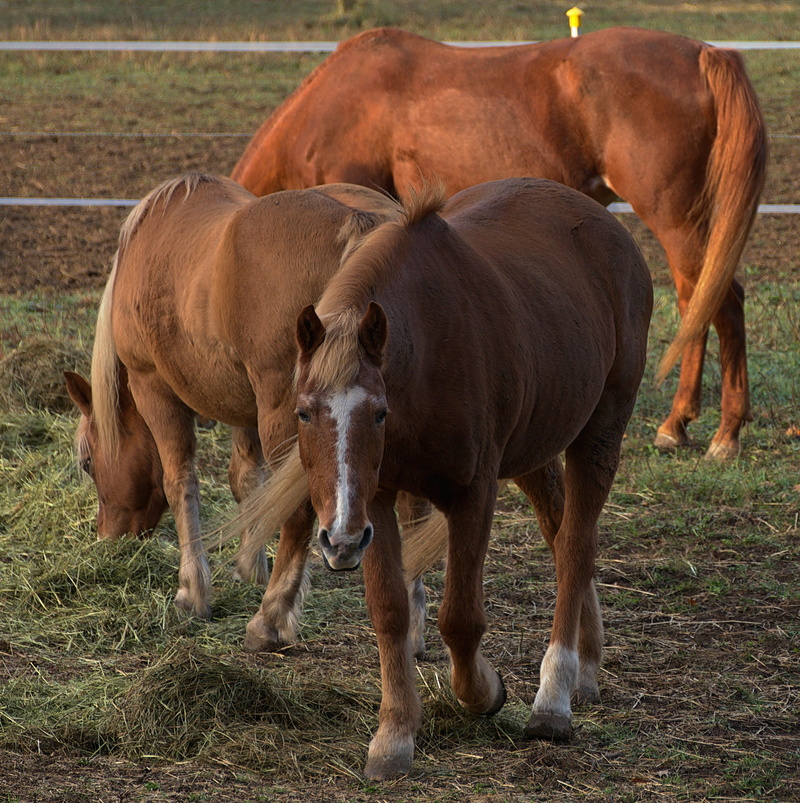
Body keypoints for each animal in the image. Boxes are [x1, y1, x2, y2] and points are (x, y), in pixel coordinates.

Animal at [65, 172, 430, 646]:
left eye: (88, 463)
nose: (107, 537)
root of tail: (363, 225)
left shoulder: (155, 390)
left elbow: (180, 483)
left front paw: (192, 591)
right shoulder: (245, 409)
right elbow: (249, 485)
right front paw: (250, 567)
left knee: (300, 511)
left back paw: (269, 618)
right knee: (415, 509)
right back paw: (413, 625)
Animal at [231, 25, 767, 459]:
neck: (337, 101)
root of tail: (704, 53)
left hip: (675, 218)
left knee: (716, 303)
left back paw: (716, 432)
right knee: (705, 301)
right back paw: (692, 422)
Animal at [232, 177, 653, 779]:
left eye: (378, 413)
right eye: (303, 412)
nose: (338, 539)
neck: (426, 356)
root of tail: (605, 222)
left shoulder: (473, 494)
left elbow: (461, 619)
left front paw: (485, 692)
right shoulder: (377, 501)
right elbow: (389, 611)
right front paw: (394, 735)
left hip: (600, 434)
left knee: (575, 547)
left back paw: (554, 698)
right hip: (535, 450)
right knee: (559, 533)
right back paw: (587, 666)